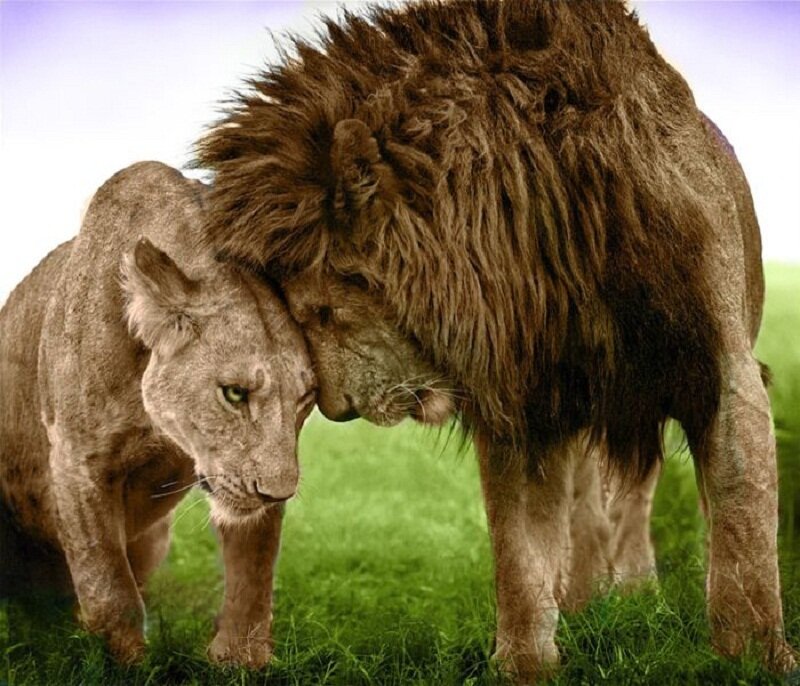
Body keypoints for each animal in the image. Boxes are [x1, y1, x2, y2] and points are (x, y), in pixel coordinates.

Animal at [0, 162, 316, 666]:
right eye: (234, 393)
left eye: (305, 399)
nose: (278, 492)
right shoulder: (77, 460)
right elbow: (109, 585)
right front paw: (127, 665)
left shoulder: (255, 466)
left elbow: (254, 571)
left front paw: (241, 660)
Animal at [195, 0, 795, 680]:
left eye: (320, 312)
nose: (336, 410)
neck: (548, 234)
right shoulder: (522, 402)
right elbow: (520, 552)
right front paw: (527, 665)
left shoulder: (722, 369)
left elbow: (743, 526)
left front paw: (757, 660)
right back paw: (587, 598)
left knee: (637, 494)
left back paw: (636, 590)